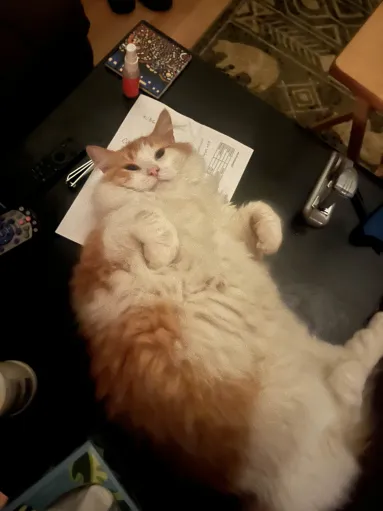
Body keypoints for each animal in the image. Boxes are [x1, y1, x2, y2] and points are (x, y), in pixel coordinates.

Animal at [71, 109, 383, 511]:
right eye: (131, 166)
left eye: (159, 155)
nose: (152, 172)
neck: (179, 203)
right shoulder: (108, 245)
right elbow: (143, 214)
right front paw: (164, 249)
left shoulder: (234, 231)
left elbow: (258, 211)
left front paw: (271, 237)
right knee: (350, 377)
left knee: (354, 368)